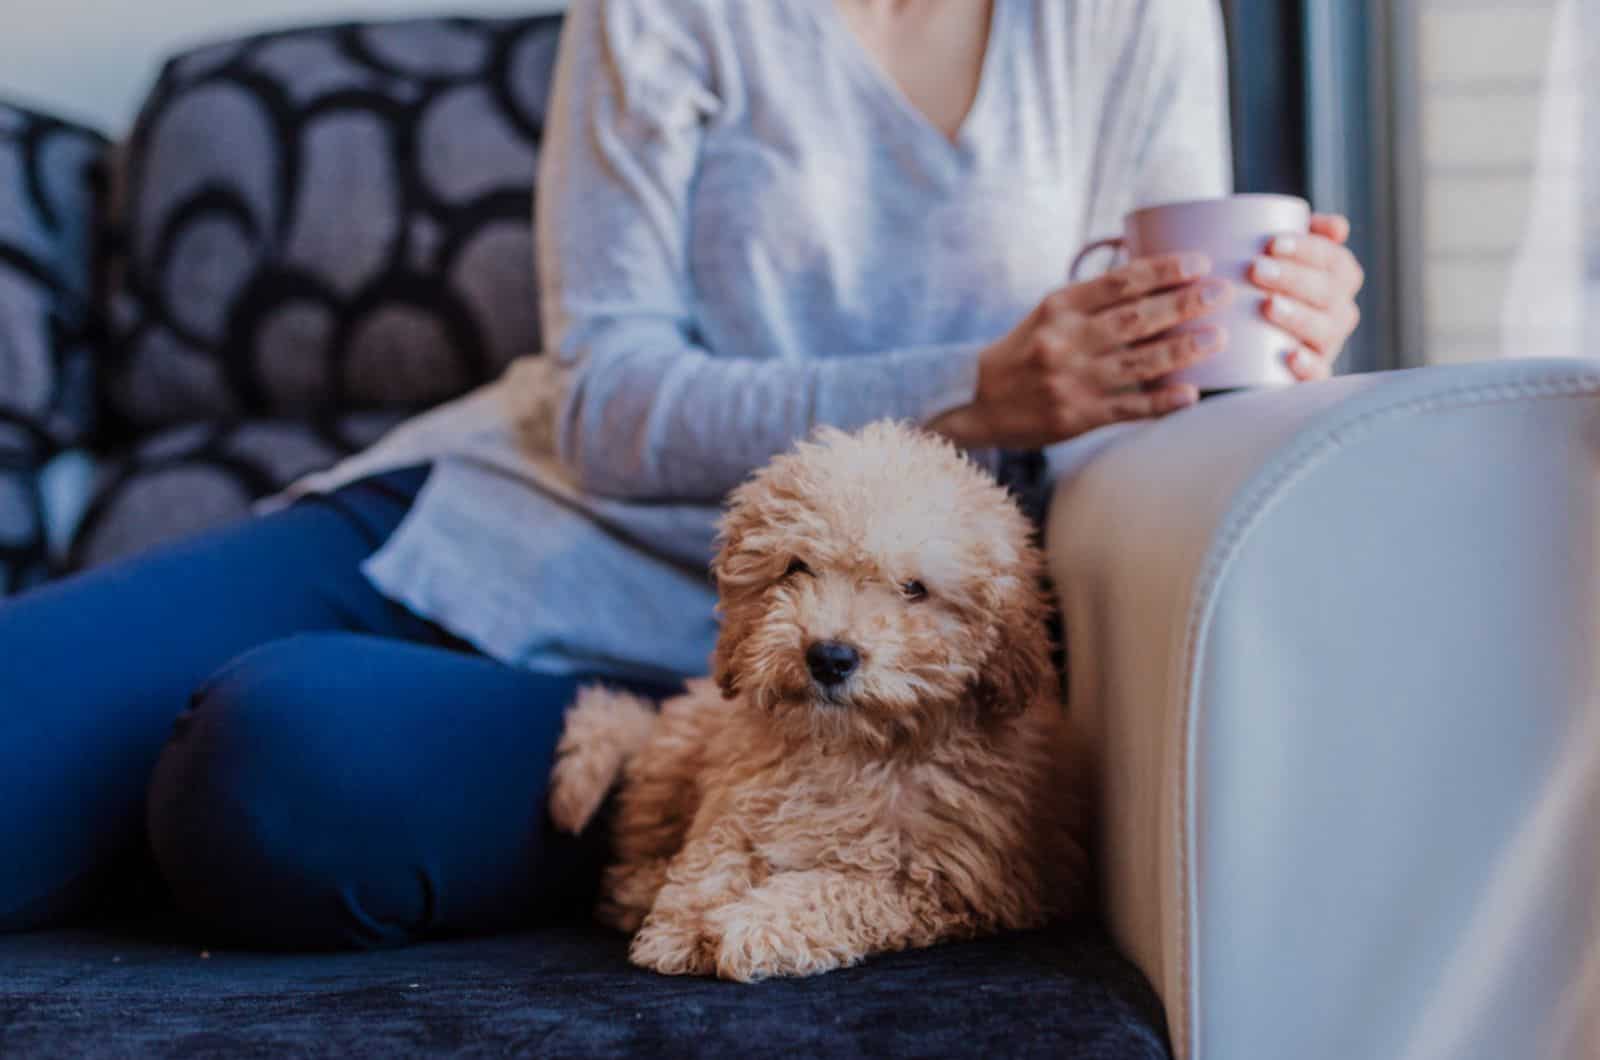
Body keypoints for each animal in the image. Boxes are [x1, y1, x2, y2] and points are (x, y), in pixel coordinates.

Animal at [547, 419, 1088, 986]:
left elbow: (841, 889)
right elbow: (714, 856)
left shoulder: (943, 881)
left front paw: (754, 926)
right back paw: (641, 885)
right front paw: (685, 925)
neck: (851, 749)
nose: (829, 657)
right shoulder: (738, 798)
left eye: (914, 588)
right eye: (796, 567)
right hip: (676, 758)